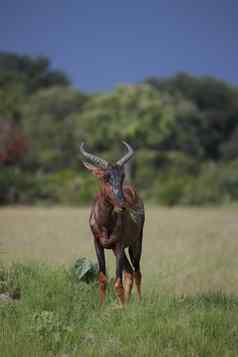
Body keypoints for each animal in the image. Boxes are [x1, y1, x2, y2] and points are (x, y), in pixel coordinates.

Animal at [79, 140, 145, 304]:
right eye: (104, 177)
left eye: (122, 176)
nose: (122, 205)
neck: (105, 224)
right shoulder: (97, 244)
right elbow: (102, 279)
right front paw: (102, 307)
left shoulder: (119, 245)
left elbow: (117, 282)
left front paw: (122, 308)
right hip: (117, 250)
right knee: (129, 273)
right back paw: (127, 303)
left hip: (136, 243)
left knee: (137, 272)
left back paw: (139, 303)